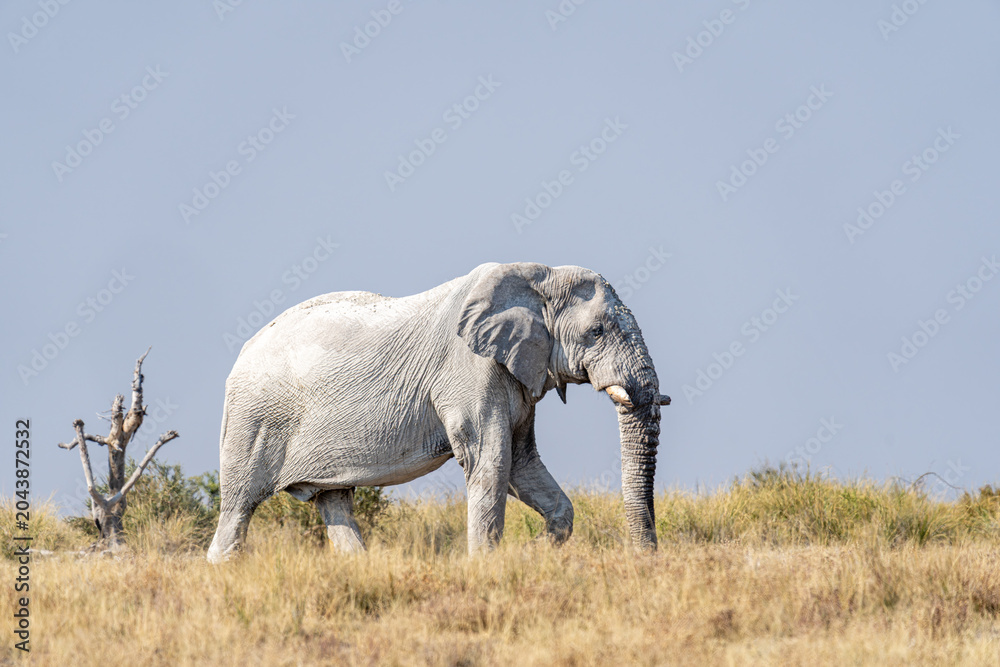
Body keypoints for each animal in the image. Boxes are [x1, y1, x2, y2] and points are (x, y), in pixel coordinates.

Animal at [206, 262, 669, 562]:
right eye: (597, 332)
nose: (646, 559)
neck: (539, 273)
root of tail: (241, 354)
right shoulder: (468, 370)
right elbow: (491, 460)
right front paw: (488, 568)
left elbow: (522, 463)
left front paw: (531, 554)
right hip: (255, 420)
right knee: (238, 506)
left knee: (333, 500)